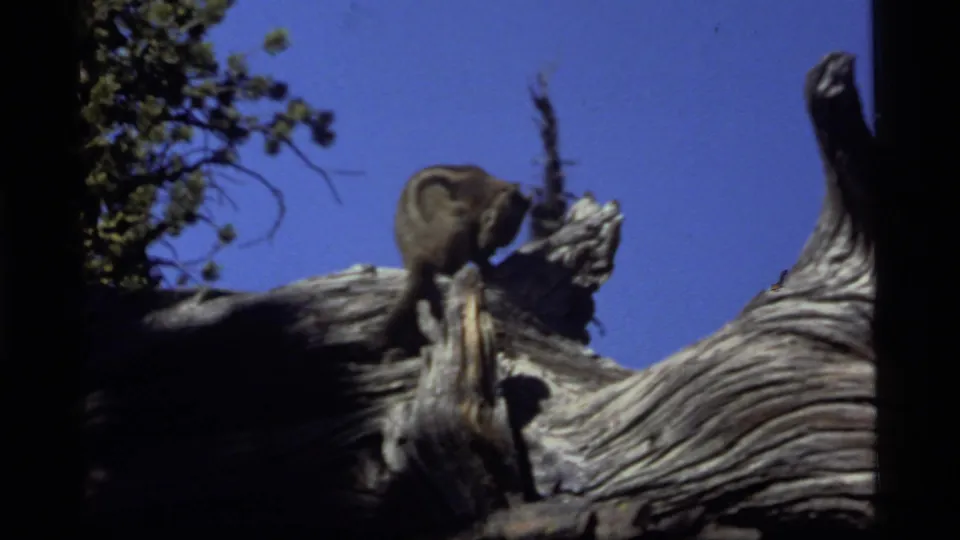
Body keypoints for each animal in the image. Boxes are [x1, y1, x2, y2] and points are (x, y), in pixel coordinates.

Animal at [378, 164, 531, 354]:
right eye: (490, 219)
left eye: (509, 236)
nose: (487, 245)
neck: (488, 191)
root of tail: (415, 256)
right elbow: (477, 253)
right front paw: (490, 268)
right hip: (457, 219)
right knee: (448, 267)